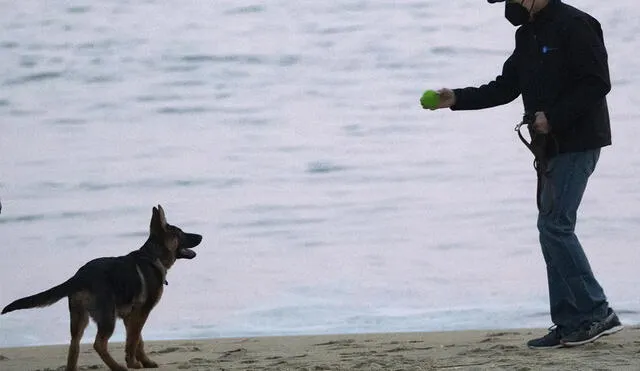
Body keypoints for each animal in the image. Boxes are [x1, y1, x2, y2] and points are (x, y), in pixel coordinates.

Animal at [1, 206, 201, 371]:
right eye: (181, 233)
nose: (201, 236)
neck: (153, 255)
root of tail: (79, 276)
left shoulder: (131, 316)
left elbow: (137, 341)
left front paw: (144, 362)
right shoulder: (141, 312)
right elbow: (134, 340)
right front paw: (134, 363)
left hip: (79, 318)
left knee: (74, 345)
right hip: (107, 317)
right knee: (98, 344)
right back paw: (118, 367)